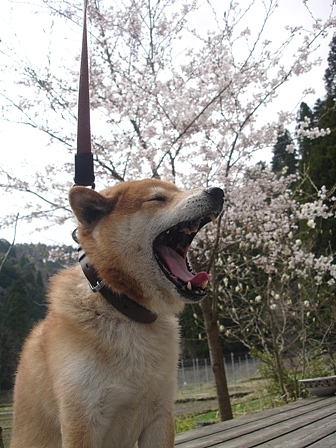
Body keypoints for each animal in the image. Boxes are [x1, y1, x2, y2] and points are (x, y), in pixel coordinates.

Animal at [10, 179, 223, 448]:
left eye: (178, 189)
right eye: (157, 199)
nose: (218, 191)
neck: (124, 308)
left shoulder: (160, 414)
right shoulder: (82, 422)